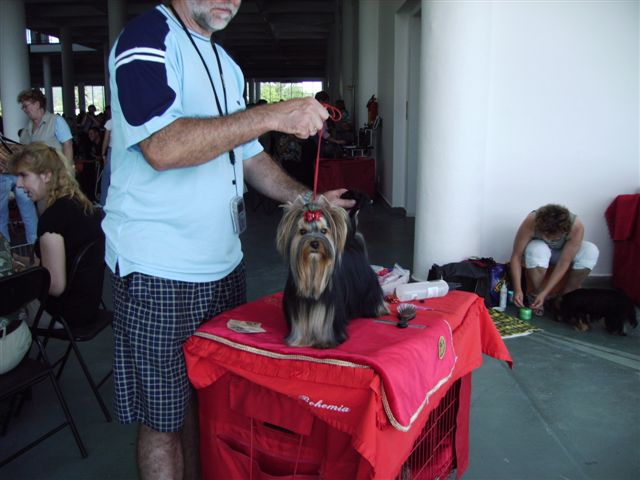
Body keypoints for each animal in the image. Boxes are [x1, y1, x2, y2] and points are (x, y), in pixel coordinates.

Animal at [276, 192, 388, 348]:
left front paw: (325, 343)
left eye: (324, 231)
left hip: (367, 283)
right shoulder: (298, 308)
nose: (315, 243)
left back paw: (379, 309)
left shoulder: (329, 309)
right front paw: (299, 341)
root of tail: (352, 243)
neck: (313, 269)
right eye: (302, 231)